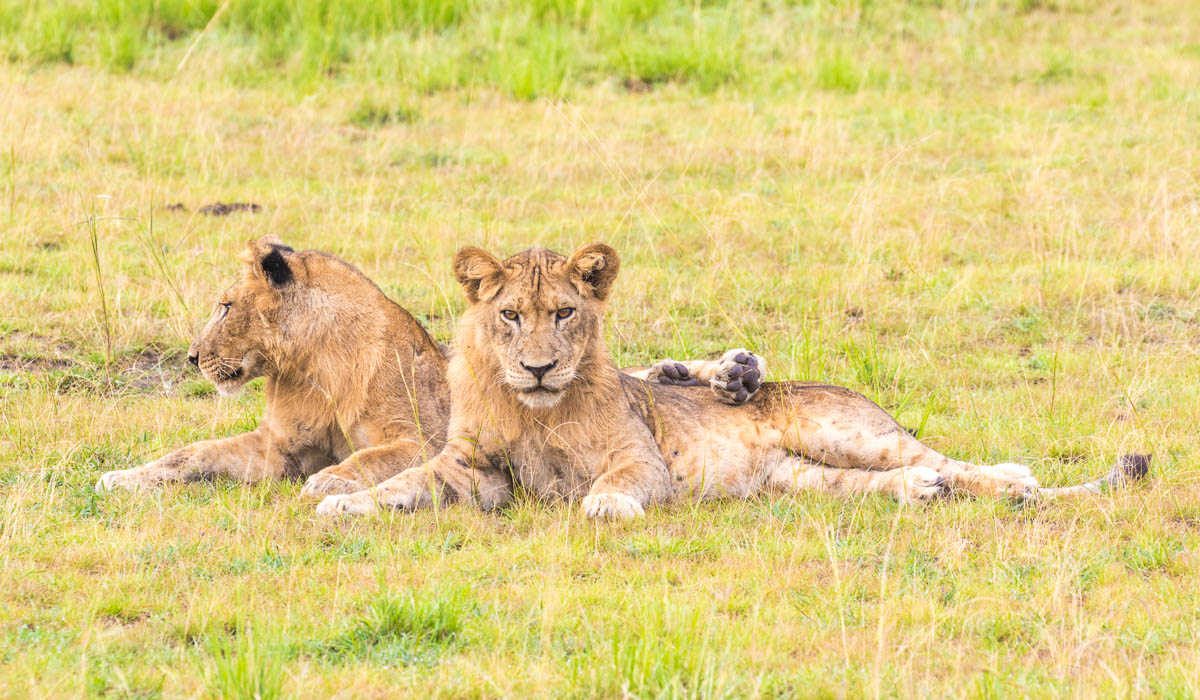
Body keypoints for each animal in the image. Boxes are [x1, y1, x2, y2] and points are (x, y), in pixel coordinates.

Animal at [95, 237, 763, 495]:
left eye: (225, 306)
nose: (191, 357)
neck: (311, 367)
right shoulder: (276, 445)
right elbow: (191, 454)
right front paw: (122, 477)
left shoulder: (424, 439)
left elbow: (365, 460)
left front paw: (330, 483)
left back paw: (734, 372)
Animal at [316, 243, 1149, 519]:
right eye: (511, 316)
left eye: (564, 312)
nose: (540, 365)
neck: (536, 409)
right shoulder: (475, 469)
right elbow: (409, 481)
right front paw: (348, 502)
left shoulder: (641, 456)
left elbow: (618, 480)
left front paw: (606, 504)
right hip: (801, 480)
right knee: (894, 482)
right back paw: (923, 494)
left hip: (842, 430)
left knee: (944, 459)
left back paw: (1013, 480)